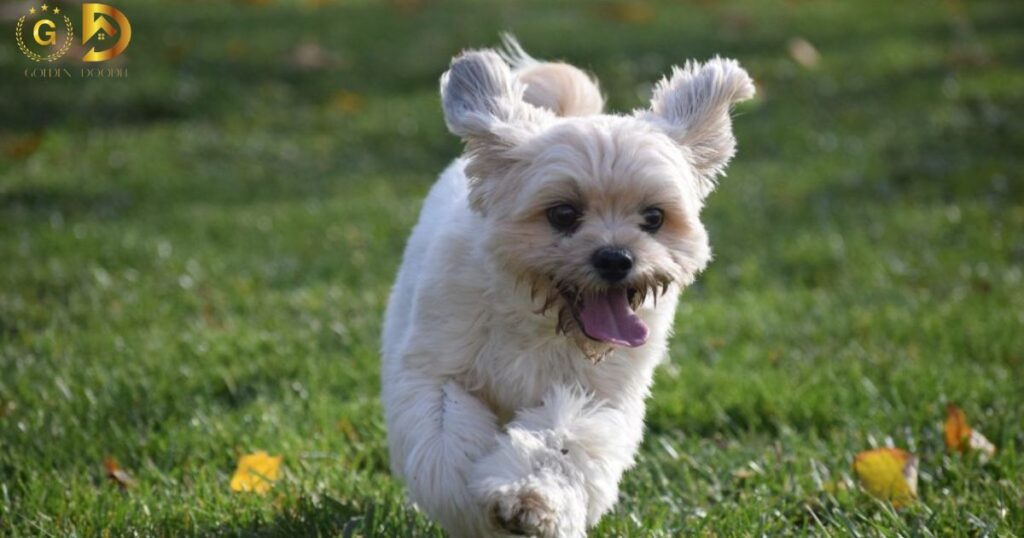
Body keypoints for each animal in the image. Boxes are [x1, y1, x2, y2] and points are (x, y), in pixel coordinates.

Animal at [380, 35, 757, 532]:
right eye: (562, 213)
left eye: (654, 217)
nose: (616, 257)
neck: (537, 318)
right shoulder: (436, 371)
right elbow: (446, 439)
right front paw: (470, 507)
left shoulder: (597, 397)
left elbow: (562, 441)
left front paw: (529, 497)